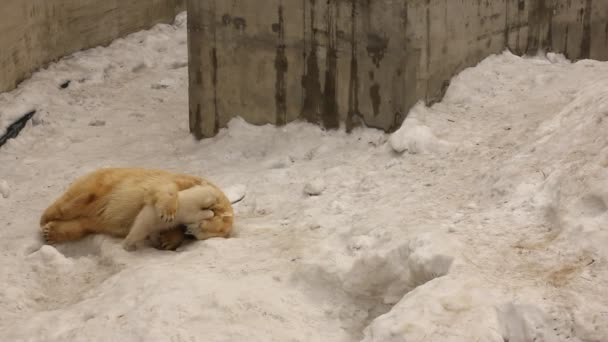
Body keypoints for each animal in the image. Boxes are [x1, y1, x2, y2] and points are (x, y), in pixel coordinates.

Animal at [38, 168, 233, 251]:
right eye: (203, 223)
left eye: (202, 231)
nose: (189, 231)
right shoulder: (183, 180)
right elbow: (163, 187)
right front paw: (168, 213)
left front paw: (167, 241)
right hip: (103, 185)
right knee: (73, 202)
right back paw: (45, 220)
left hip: (95, 217)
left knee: (82, 225)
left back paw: (51, 232)